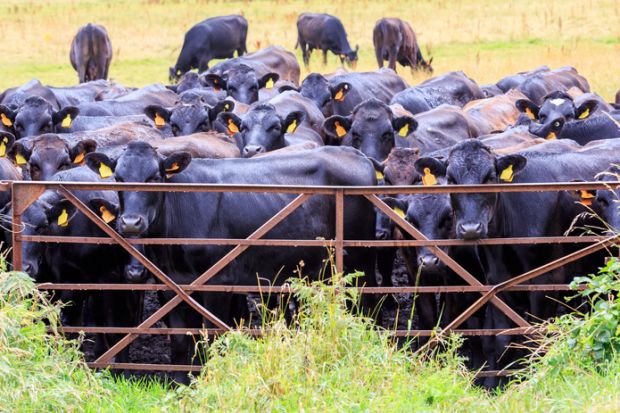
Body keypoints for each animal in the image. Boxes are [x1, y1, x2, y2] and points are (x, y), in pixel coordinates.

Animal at [86, 142, 378, 380]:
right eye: (118, 177)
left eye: (155, 177)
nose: (131, 223)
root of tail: (354, 153)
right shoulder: (171, 286)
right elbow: (180, 340)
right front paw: (180, 383)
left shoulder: (218, 283)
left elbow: (211, 337)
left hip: (359, 261)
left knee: (364, 304)